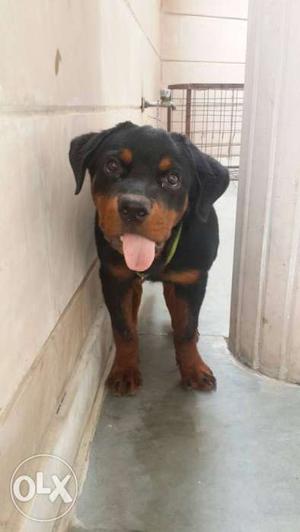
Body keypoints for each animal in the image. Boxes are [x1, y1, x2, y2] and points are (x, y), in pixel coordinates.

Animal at [69, 120, 230, 394]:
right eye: (112, 165)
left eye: (173, 179)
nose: (133, 208)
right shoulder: (115, 277)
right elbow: (123, 329)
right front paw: (125, 370)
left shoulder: (191, 279)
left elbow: (186, 329)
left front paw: (194, 369)